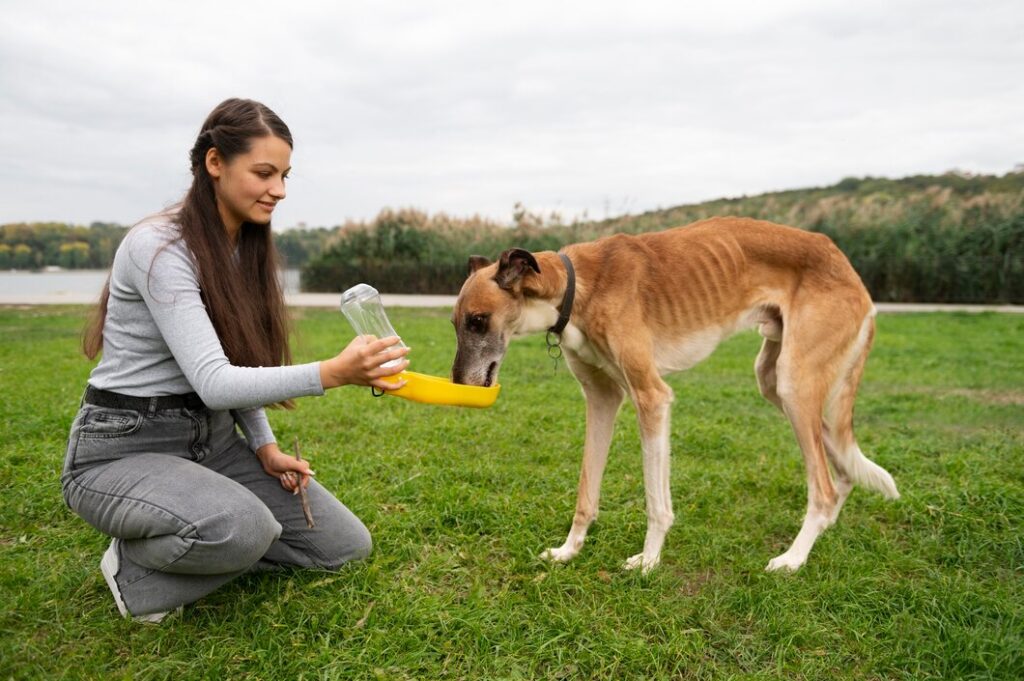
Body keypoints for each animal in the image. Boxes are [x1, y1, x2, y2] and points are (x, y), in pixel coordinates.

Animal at [452, 216, 901, 569]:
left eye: (478, 320)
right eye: (455, 323)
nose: (457, 384)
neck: (575, 287)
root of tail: (845, 265)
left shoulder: (652, 398)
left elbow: (656, 501)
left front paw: (648, 560)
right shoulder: (601, 399)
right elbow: (586, 491)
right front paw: (569, 551)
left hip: (796, 383)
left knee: (823, 489)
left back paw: (792, 559)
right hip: (774, 382)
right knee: (842, 469)